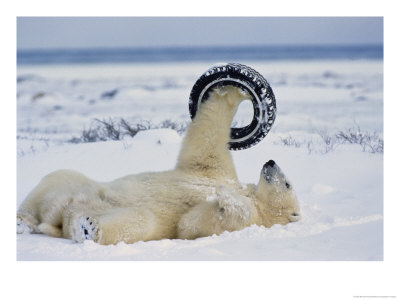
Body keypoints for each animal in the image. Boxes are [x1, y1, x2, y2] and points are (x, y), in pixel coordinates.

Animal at [18, 85, 300, 245]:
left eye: (288, 183)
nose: (271, 162)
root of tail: (57, 223)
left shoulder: (243, 222)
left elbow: (191, 224)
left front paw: (225, 198)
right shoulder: (216, 172)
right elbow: (207, 146)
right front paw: (232, 90)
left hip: (98, 213)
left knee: (139, 220)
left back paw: (87, 229)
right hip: (71, 184)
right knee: (54, 183)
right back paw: (24, 221)